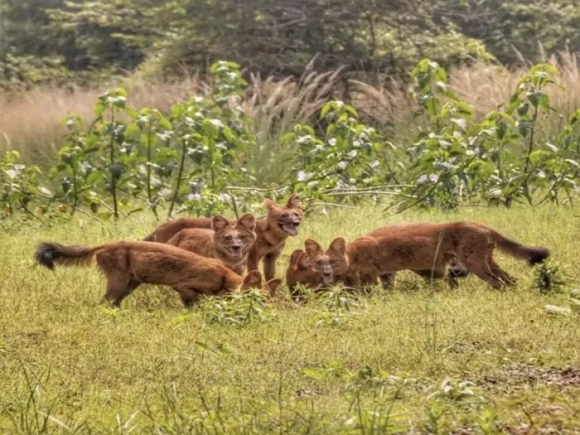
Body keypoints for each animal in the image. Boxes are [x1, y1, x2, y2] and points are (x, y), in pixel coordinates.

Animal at [35, 242, 282, 306]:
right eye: (258, 299)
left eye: (270, 299)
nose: (270, 311)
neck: (224, 276)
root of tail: (104, 244)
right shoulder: (183, 287)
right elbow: (194, 305)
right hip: (118, 282)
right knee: (104, 303)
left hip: (129, 285)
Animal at [142, 193, 304, 282]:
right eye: (283, 216)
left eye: (296, 214)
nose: (296, 223)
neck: (272, 238)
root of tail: (161, 226)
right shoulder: (252, 258)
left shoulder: (270, 258)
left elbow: (270, 277)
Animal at [326, 223, 548, 292]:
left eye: (331, 262)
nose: (327, 274)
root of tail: (482, 225)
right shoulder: (387, 274)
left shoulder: (372, 275)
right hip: (487, 263)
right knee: (510, 280)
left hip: (475, 264)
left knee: (497, 283)